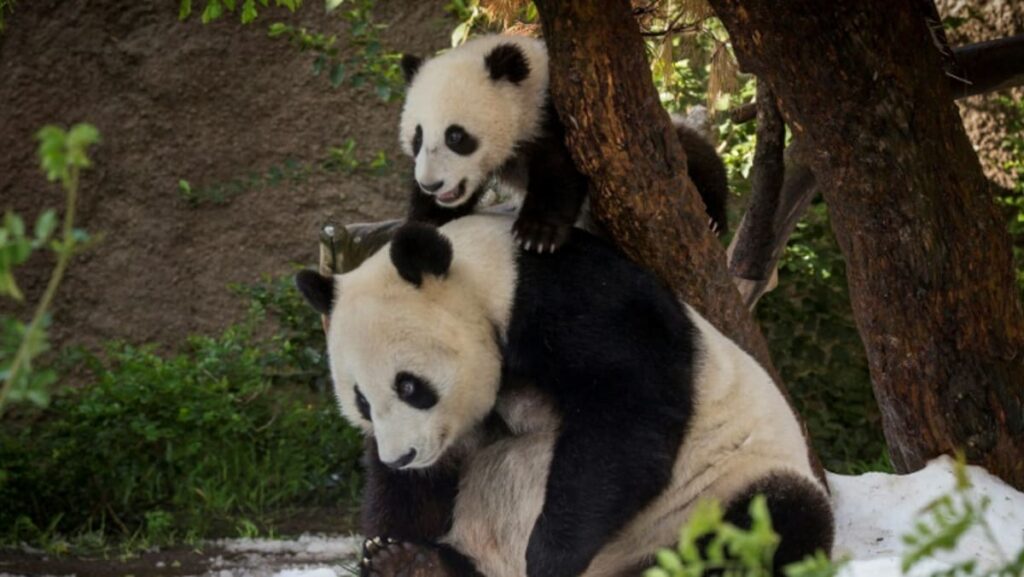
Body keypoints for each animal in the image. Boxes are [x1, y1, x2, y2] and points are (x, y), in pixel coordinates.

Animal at [295, 213, 833, 577]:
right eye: (362, 402)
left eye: (410, 386)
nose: (403, 455)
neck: (489, 277)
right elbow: (415, 488)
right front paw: (386, 548)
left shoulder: (583, 305)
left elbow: (625, 418)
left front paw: (550, 556)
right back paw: (421, 564)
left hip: (716, 493)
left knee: (775, 523)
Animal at [399, 34, 730, 253]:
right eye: (418, 137)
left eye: (455, 136)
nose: (431, 185)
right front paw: (428, 217)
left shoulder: (562, 115)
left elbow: (559, 170)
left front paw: (537, 233)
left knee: (697, 156)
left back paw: (714, 219)